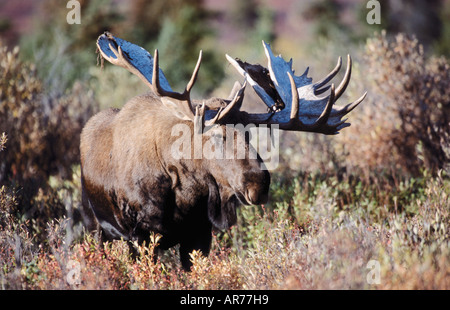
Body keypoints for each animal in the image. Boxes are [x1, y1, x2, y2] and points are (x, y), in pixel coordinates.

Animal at [81, 31, 366, 268]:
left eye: (250, 133)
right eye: (216, 135)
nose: (258, 184)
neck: (185, 192)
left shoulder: (199, 234)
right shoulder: (141, 234)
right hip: (96, 227)